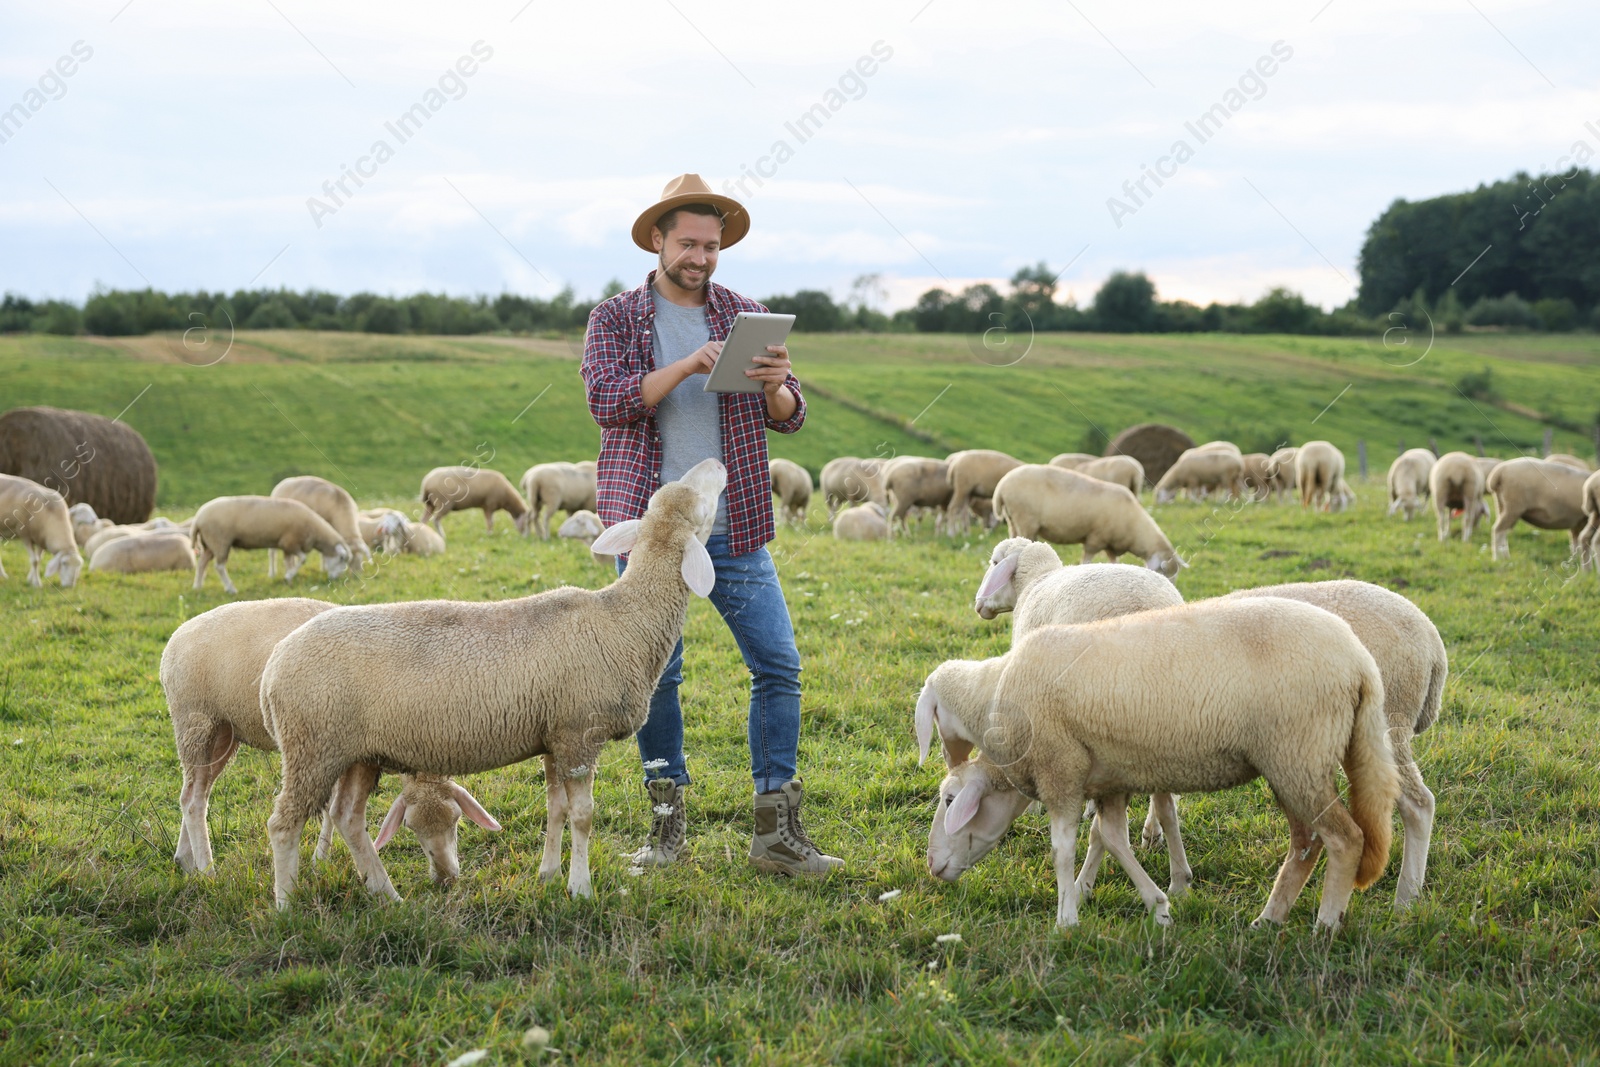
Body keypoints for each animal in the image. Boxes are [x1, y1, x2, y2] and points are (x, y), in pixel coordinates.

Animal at [162, 601, 496, 883]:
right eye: (410, 826)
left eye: (456, 820)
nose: (446, 878)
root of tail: (176, 637)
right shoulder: (329, 743)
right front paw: (319, 859)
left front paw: (320, 858)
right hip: (195, 722)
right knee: (193, 799)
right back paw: (207, 869)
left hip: (223, 731)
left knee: (197, 791)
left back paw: (185, 860)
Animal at [188, 495, 352, 598]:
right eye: (342, 558)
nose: (336, 579)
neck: (315, 530)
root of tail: (198, 518)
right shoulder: (289, 542)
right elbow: (303, 559)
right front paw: (289, 575)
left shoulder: (287, 546)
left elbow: (289, 562)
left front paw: (289, 579)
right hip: (220, 541)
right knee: (219, 567)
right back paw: (230, 589)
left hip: (209, 543)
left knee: (202, 563)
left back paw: (197, 587)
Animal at [260, 460, 726, 908]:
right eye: (703, 507)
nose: (718, 464)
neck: (625, 619)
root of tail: (274, 664)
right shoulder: (578, 736)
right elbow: (583, 816)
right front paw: (581, 888)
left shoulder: (552, 737)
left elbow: (556, 809)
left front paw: (549, 874)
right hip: (313, 748)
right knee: (284, 823)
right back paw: (286, 904)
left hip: (357, 754)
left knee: (347, 818)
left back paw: (387, 895)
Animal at [921, 601, 1395, 934]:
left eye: (949, 799)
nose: (931, 866)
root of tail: (1361, 662)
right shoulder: (1108, 778)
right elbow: (1111, 837)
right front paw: (1157, 906)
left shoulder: (1061, 771)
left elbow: (1064, 849)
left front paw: (1066, 920)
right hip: (1294, 764)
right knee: (1305, 844)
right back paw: (1269, 921)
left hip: (1298, 756)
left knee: (1345, 839)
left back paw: (1325, 926)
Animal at [979, 460, 1184, 572]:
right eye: (1163, 571)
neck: (1133, 528)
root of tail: (1001, 487)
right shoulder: (1096, 538)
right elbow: (1087, 559)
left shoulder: (1110, 543)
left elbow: (1113, 561)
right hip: (1025, 519)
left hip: (1013, 521)